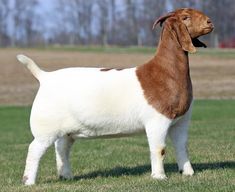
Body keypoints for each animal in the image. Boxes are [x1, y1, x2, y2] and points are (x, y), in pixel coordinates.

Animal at [17, 7, 214, 184]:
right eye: (185, 17)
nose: (209, 22)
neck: (164, 71)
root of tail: (45, 77)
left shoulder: (181, 121)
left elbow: (182, 147)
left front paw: (188, 173)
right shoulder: (157, 121)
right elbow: (159, 149)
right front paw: (159, 177)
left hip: (67, 130)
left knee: (62, 148)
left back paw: (66, 176)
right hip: (45, 128)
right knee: (34, 149)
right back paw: (29, 181)